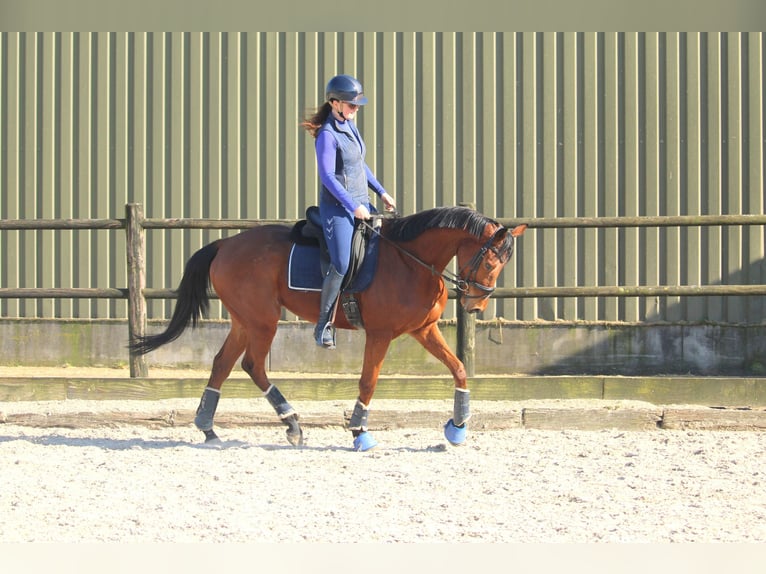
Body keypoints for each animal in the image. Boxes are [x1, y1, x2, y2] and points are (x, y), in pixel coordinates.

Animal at [130, 207, 528, 454]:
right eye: (490, 261)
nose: (475, 307)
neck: (410, 261)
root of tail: (225, 243)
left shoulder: (424, 330)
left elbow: (458, 368)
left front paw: (457, 427)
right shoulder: (380, 334)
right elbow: (368, 382)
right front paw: (359, 432)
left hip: (245, 320)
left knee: (222, 364)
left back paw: (209, 428)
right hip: (263, 320)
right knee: (252, 365)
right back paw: (291, 423)